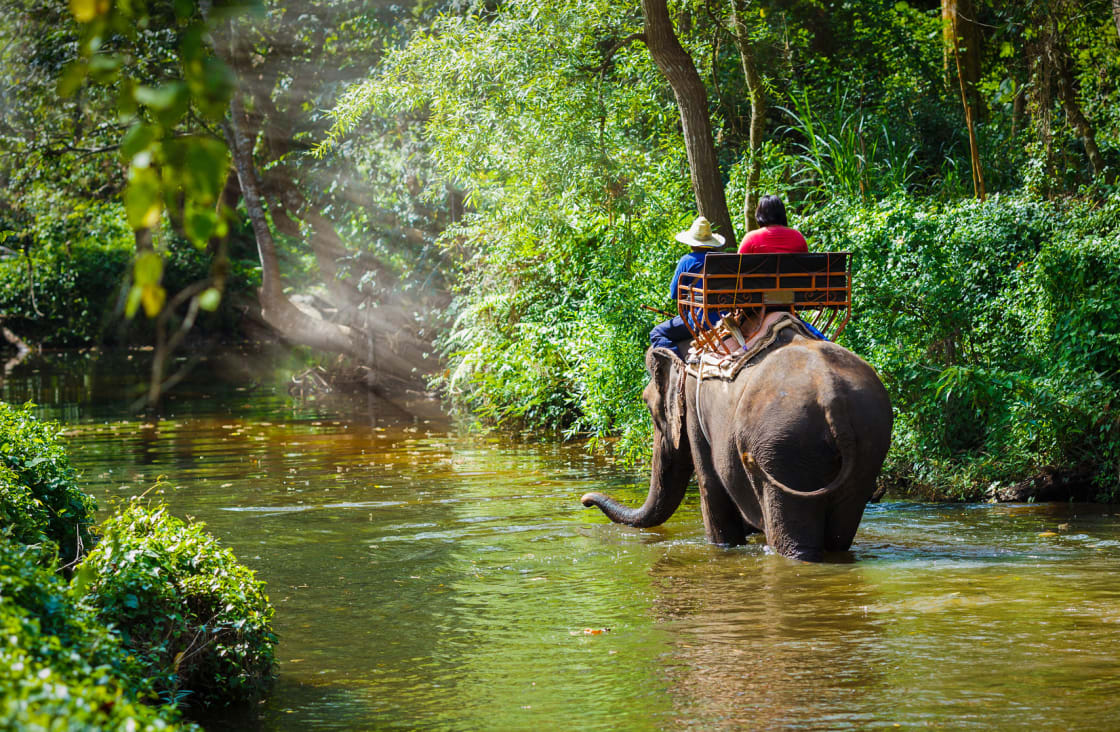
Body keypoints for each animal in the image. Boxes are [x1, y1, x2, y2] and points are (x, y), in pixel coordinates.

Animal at [586, 324, 891, 564]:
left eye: (649, 407)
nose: (586, 501)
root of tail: (831, 396)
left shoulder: (696, 412)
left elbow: (711, 487)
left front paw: (723, 547)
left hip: (785, 449)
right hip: (867, 444)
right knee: (840, 535)